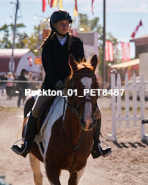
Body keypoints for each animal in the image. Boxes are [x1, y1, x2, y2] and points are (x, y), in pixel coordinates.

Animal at [22, 54, 99, 184]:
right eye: (74, 86)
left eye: (97, 86)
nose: (88, 120)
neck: (73, 136)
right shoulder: (51, 168)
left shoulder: (79, 169)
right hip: (32, 154)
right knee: (38, 177)